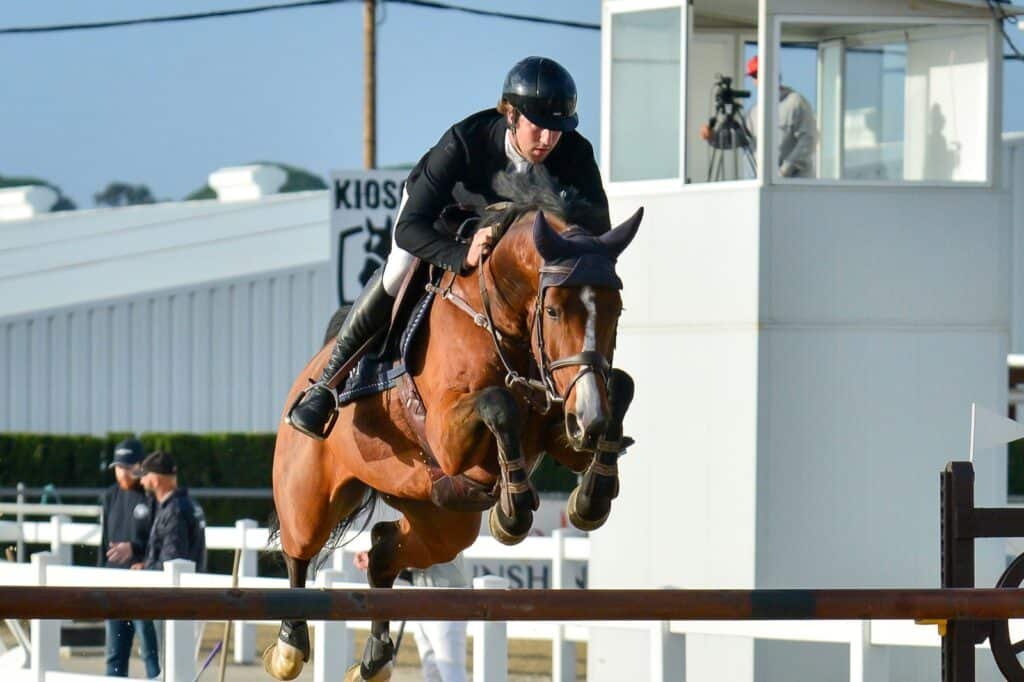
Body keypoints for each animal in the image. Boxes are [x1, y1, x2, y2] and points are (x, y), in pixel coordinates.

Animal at [265, 172, 642, 682]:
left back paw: (376, 657)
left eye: (616, 309)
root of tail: (309, 372)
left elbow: (620, 386)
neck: (503, 323)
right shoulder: (449, 435)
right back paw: (290, 647)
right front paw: (513, 509)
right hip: (309, 492)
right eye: (554, 311)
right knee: (299, 551)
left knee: (383, 550)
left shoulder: (563, 426)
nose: (590, 420)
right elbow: (498, 403)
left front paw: (592, 494)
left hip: (441, 518)